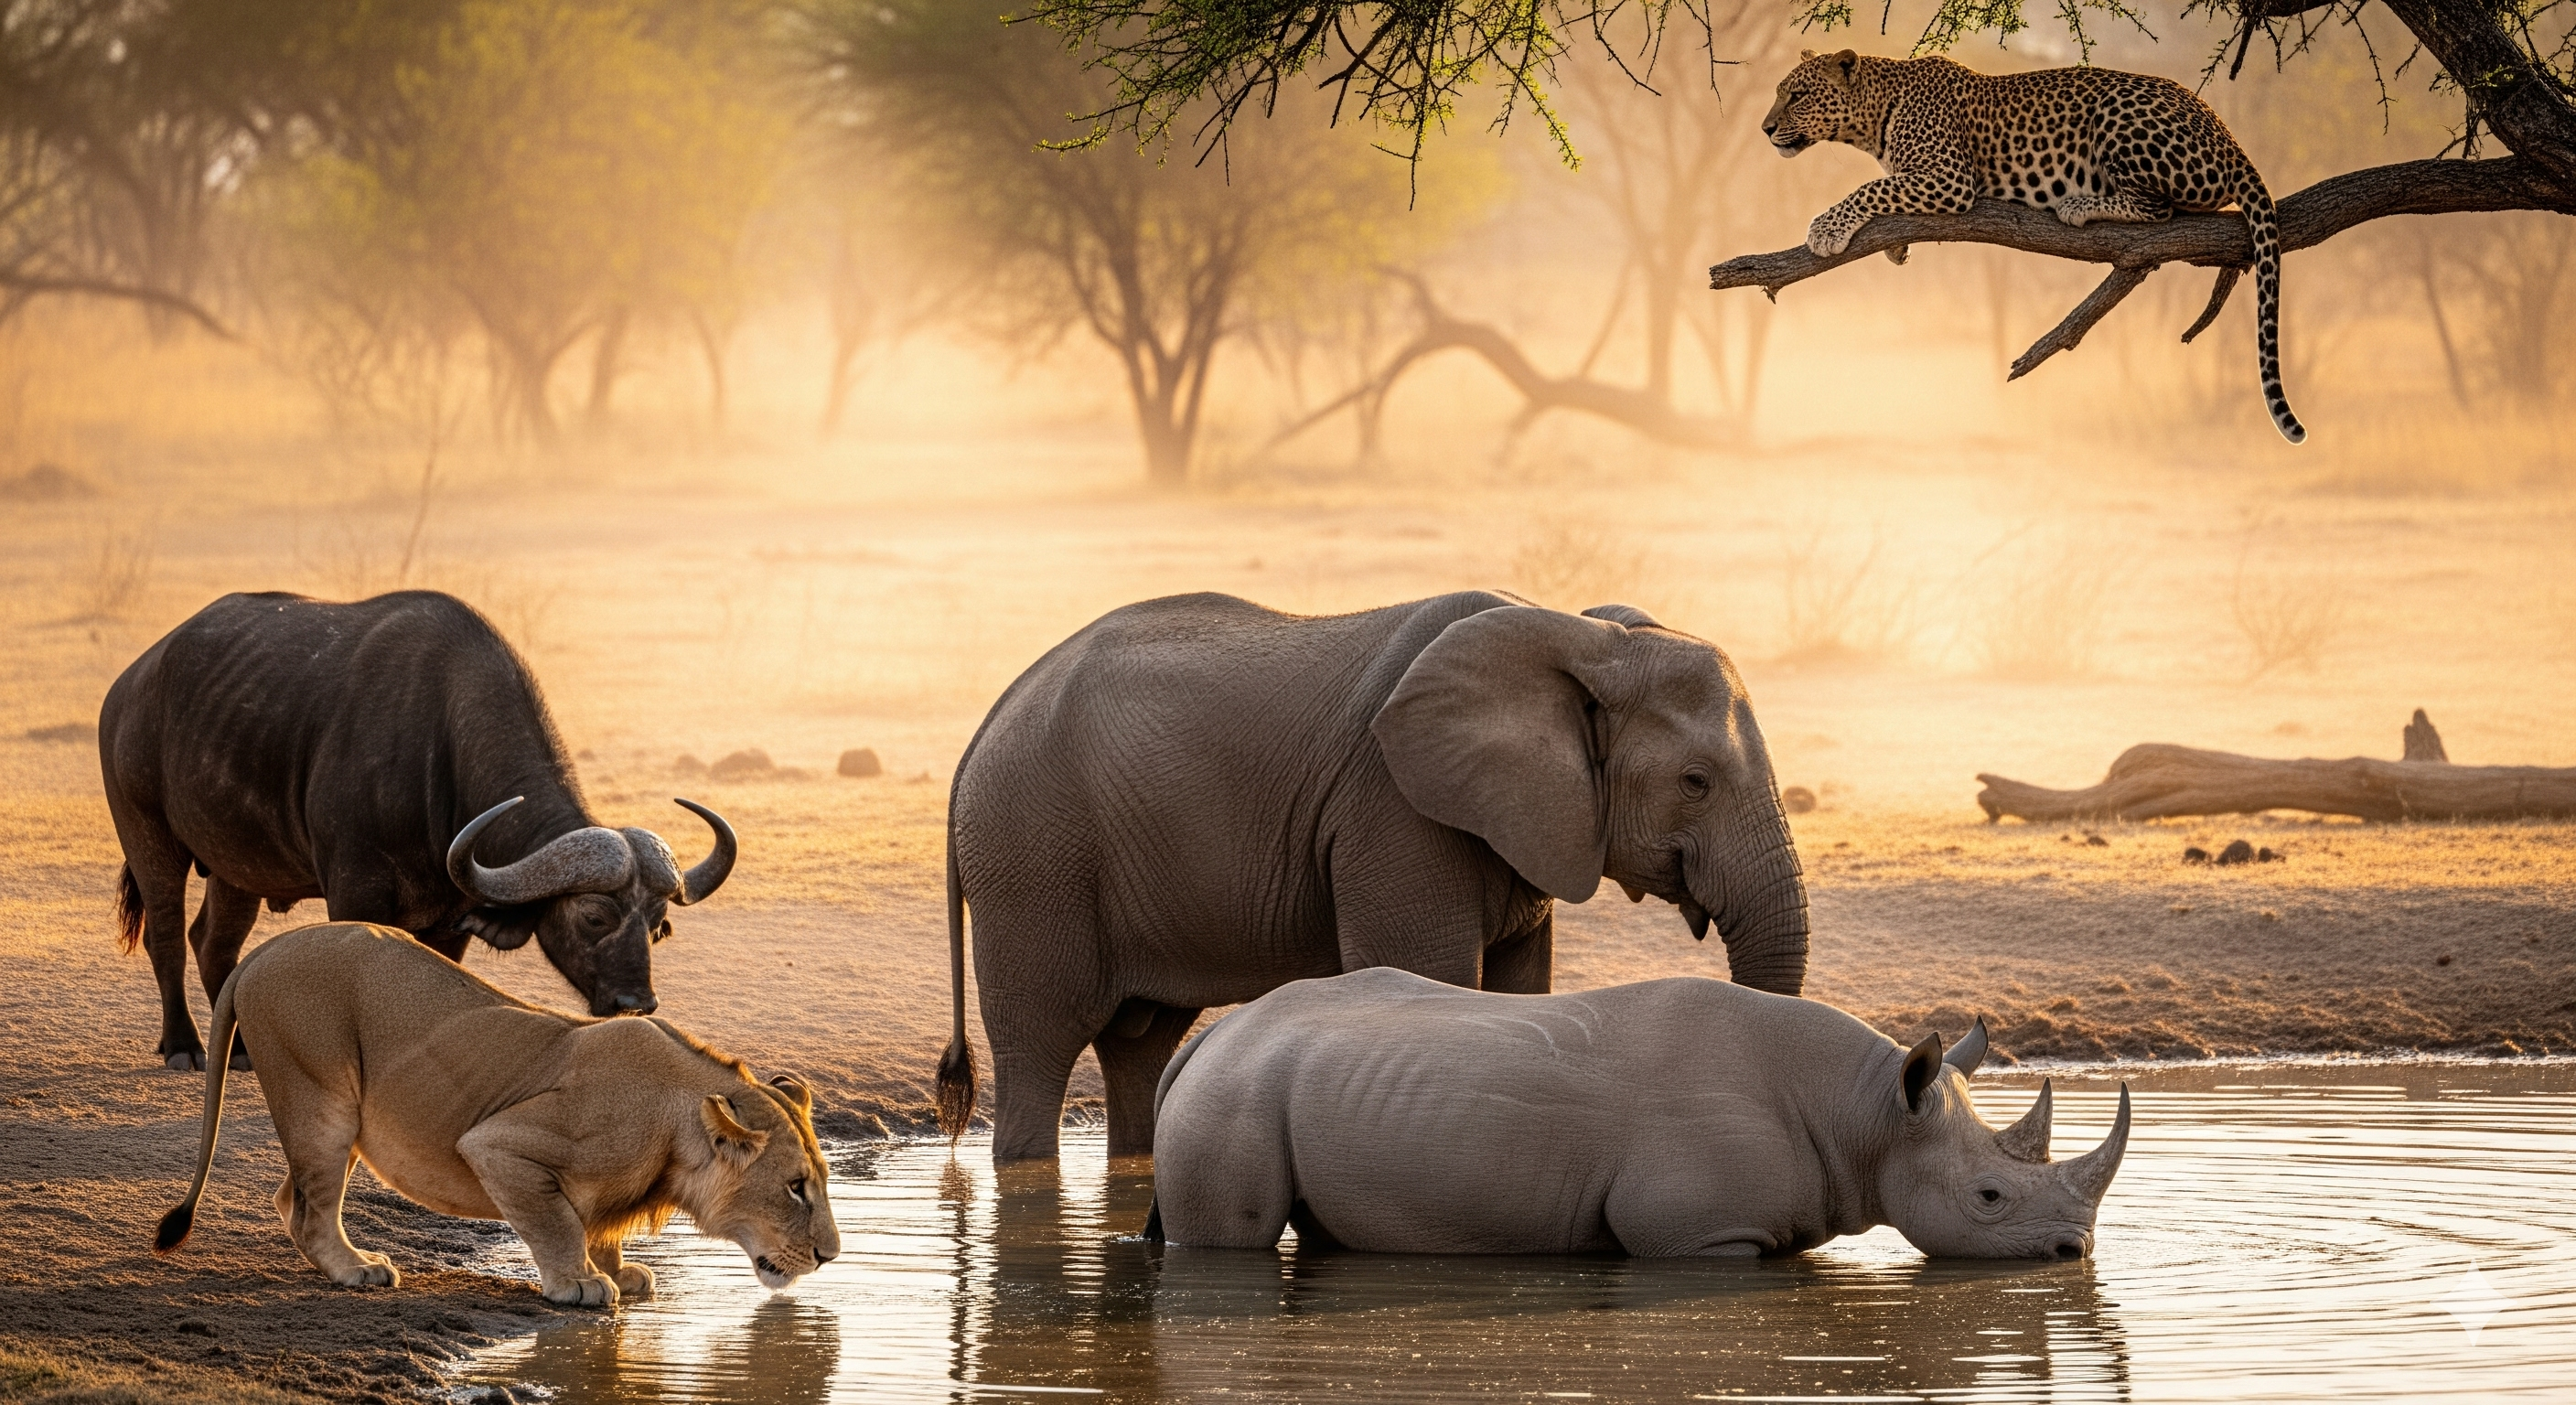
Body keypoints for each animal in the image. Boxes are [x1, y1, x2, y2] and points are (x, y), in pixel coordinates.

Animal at [100, 590, 736, 1069]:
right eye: (595, 917)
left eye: (658, 926)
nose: (637, 1003)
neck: (442, 743)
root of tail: (131, 682)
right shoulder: (355, 892)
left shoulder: (451, 915)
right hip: (146, 833)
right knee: (166, 933)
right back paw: (185, 1047)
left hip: (239, 865)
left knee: (213, 941)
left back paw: (240, 1051)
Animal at [154, 922, 839, 1305]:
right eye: (795, 1187)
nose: (831, 1257)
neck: (676, 1128)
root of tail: (264, 950)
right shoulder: (501, 1143)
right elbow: (558, 1224)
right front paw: (581, 1284)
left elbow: (598, 1227)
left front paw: (619, 1272)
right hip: (321, 1096)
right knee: (310, 1209)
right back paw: (357, 1270)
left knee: (289, 1199)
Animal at [936, 589, 1810, 1162]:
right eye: (1695, 782)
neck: (1584, 635)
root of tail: (980, 734)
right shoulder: (1393, 811)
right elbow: (1430, 974)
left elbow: (1521, 988)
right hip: (1032, 857)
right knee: (1043, 1044)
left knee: (1139, 1044)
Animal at [1145, 968, 2131, 1259]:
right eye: (1989, 1198)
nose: (2073, 1254)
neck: (1868, 1113)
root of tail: (1213, 1034)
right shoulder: (1701, 1235)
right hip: (1234, 1094)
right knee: (1228, 1242)